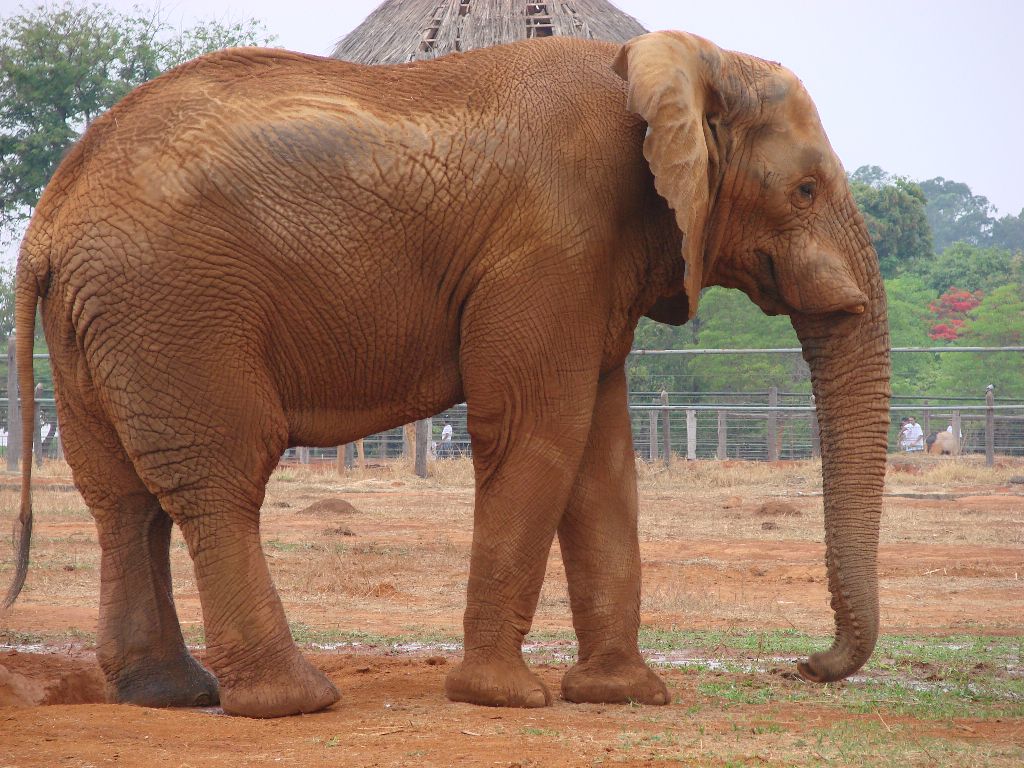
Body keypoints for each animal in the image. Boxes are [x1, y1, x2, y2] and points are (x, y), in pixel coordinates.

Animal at [4, 31, 890, 718]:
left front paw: (625, 696)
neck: (683, 63)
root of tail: (48, 218)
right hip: (177, 305)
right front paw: (506, 699)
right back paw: (296, 702)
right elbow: (537, 428)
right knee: (219, 479)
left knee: (122, 497)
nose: (806, 665)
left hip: (103, 323)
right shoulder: (554, 239)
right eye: (805, 188)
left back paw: (169, 694)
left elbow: (601, 456)